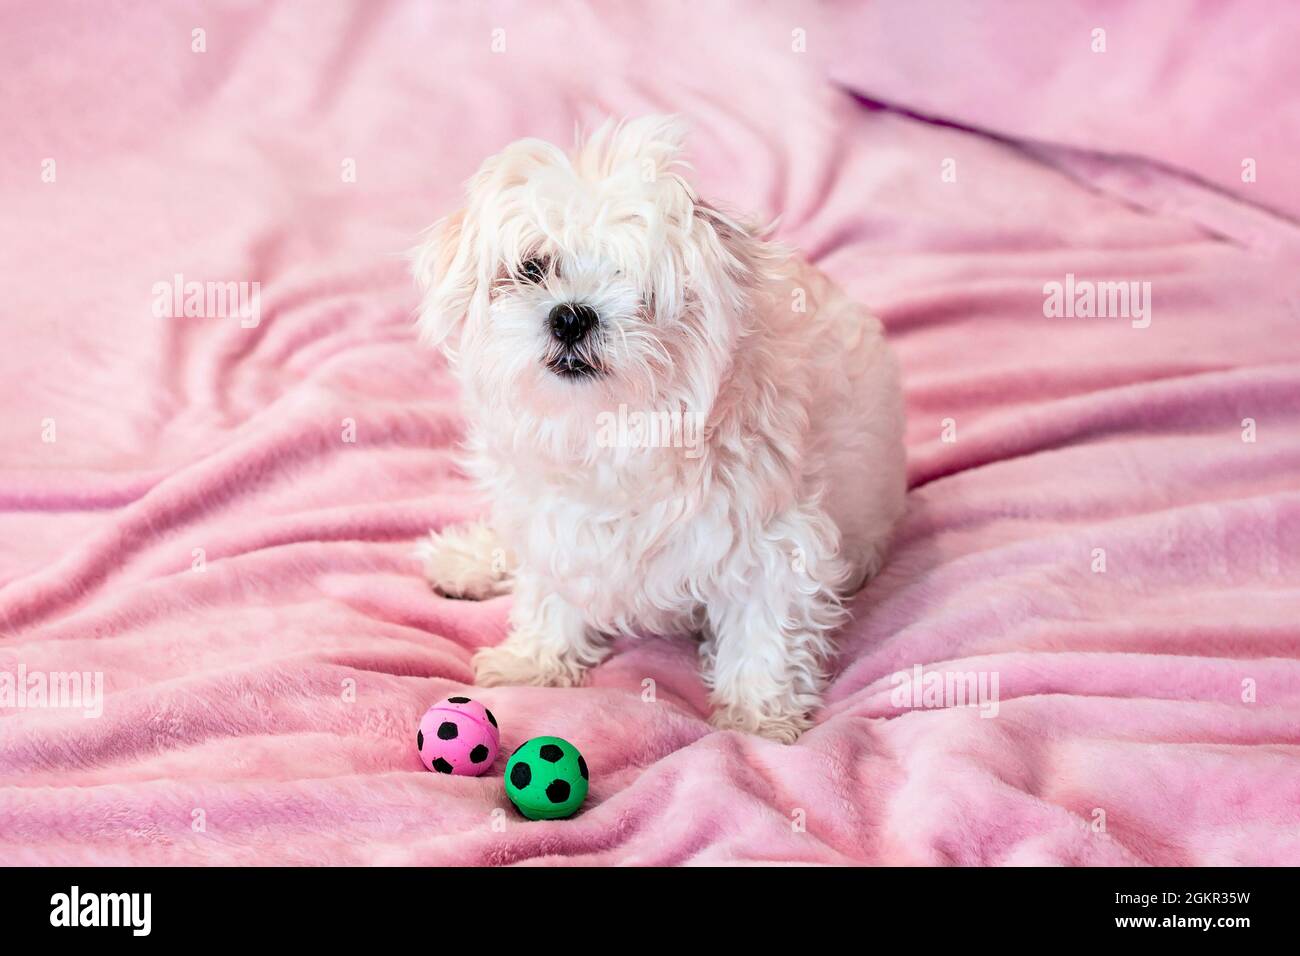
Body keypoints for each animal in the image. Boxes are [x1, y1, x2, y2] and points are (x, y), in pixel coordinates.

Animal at [413, 111, 904, 738]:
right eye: (531, 268)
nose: (571, 315)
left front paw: (756, 716)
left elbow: (765, 630)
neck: (615, 431)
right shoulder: (554, 519)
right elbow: (550, 588)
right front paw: (536, 659)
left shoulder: (777, 542)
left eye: (638, 284)